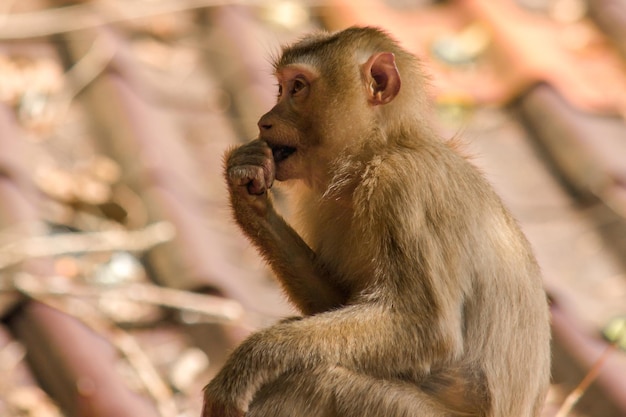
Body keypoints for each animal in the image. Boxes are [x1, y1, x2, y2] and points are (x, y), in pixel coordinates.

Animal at [202, 26, 548, 416]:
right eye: (280, 88)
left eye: (297, 87)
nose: (265, 120)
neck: (375, 153)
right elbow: (338, 303)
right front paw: (249, 198)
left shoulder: (403, 186)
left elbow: (425, 328)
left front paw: (252, 359)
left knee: (314, 379)